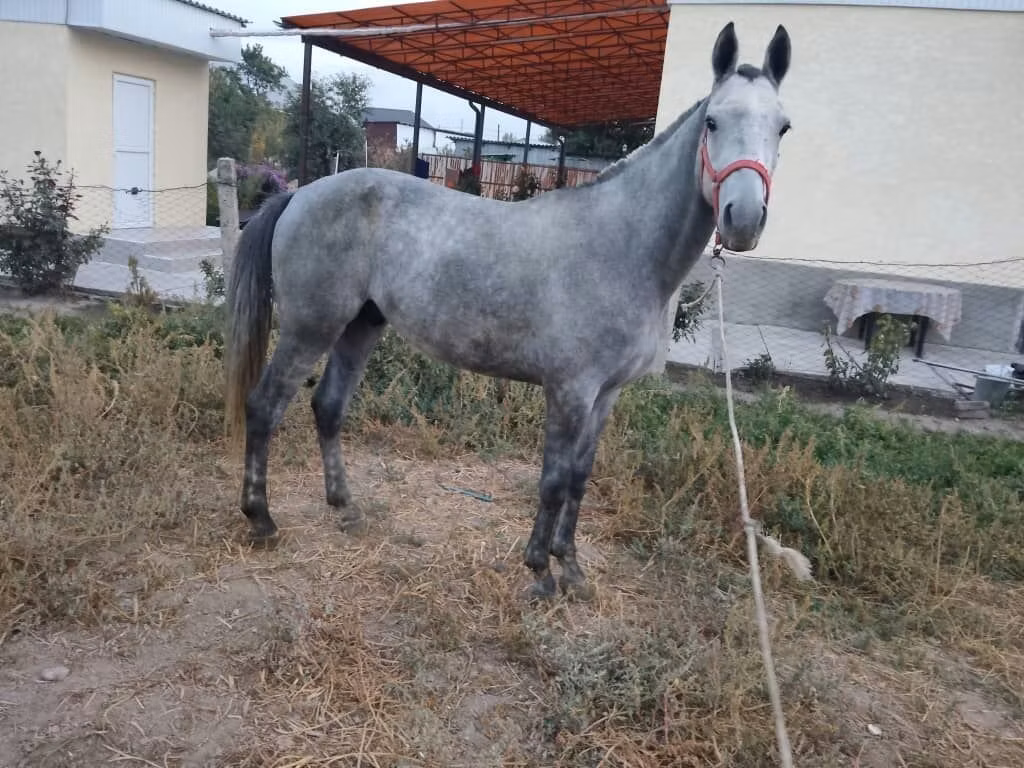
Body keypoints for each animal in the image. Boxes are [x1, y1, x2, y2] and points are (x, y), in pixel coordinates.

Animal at [224, 22, 793, 600]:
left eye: (783, 127)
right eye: (712, 121)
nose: (744, 219)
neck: (621, 246)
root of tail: (299, 195)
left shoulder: (606, 394)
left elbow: (580, 478)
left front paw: (572, 568)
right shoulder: (570, 390)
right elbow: (554, 481)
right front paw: (540, 570)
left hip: (360, 326)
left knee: (328, 407)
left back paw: (346, 509)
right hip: (309, 327)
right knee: (264, 406)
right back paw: (261, 518)